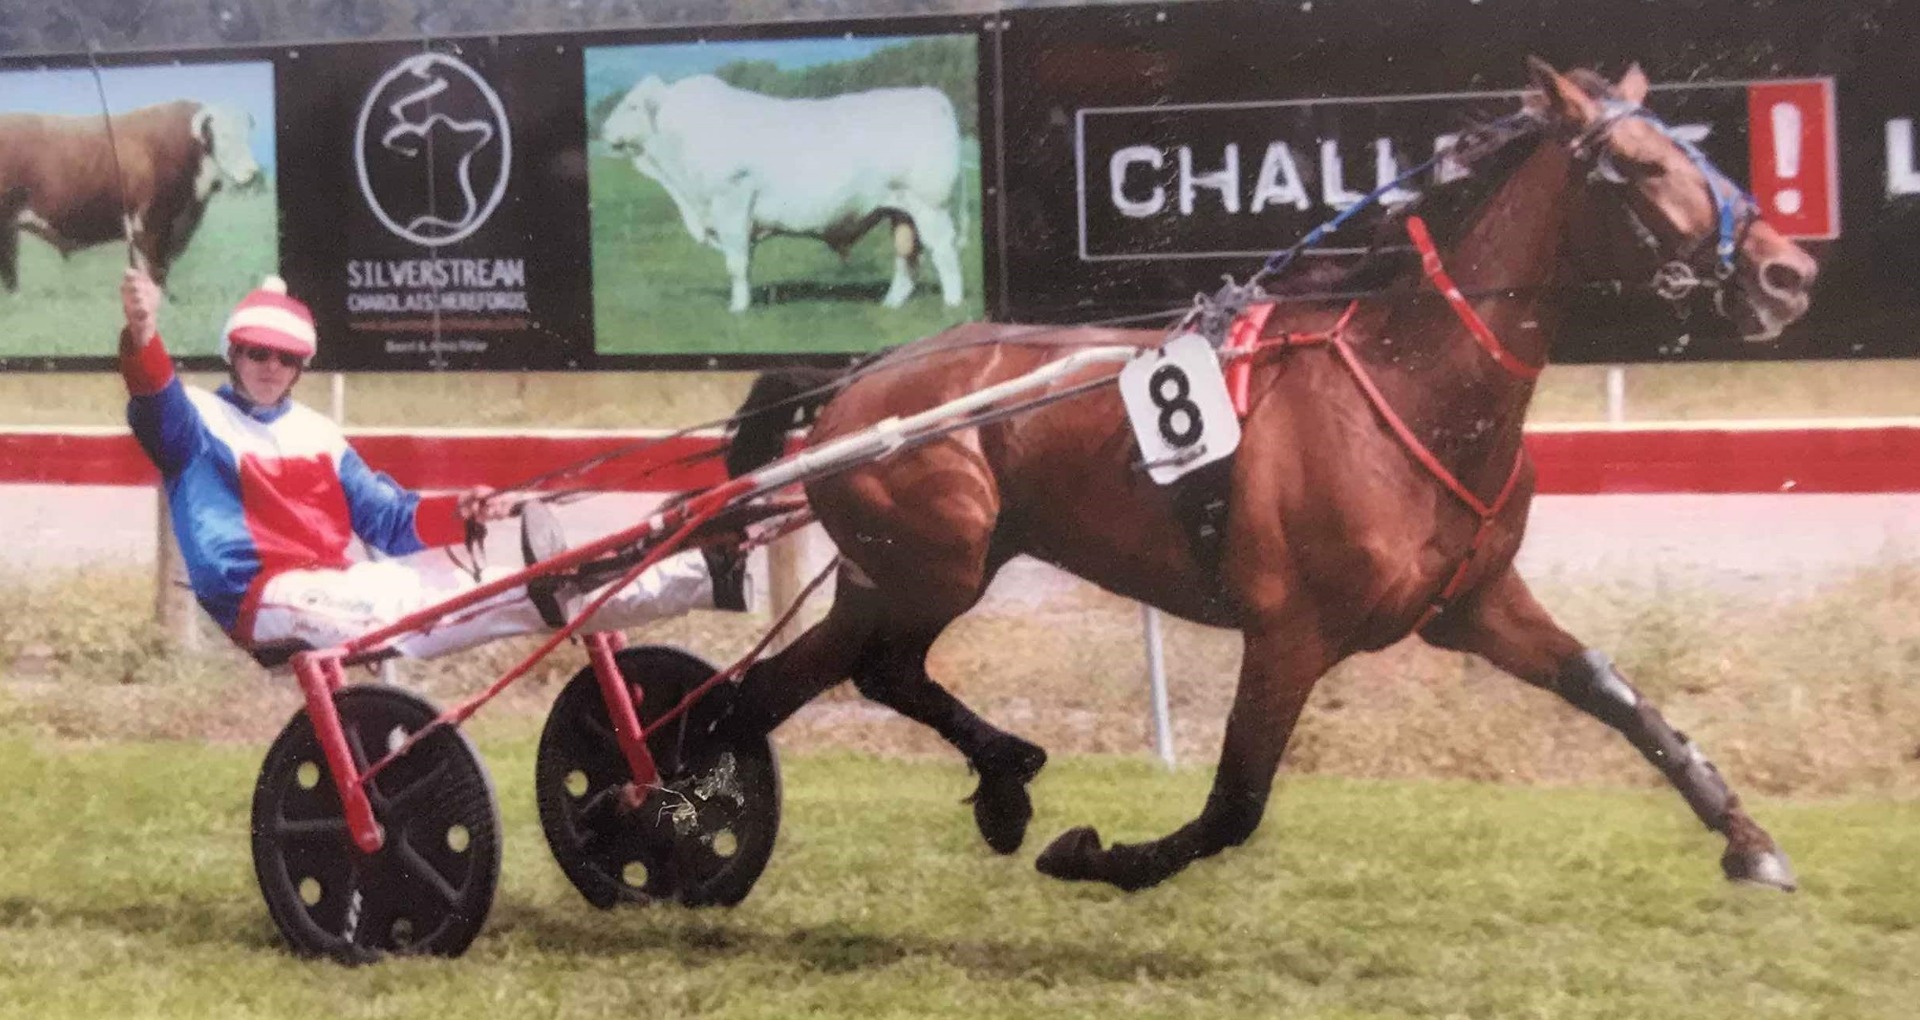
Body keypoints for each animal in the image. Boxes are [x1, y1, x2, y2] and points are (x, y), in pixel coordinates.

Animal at [721, 61, 1812, 895]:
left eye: (1702, 152)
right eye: (1642, 167)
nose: (1786, 275)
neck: (1416, 386)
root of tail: (859, 381)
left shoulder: (1475, 603)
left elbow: (1610, 689)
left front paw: (1749, 841)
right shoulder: (1290, 633)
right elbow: (1235, 804)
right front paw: (1093, 854)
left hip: (909, 574)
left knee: (802, 684)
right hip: (932, 567)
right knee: (850, 675)